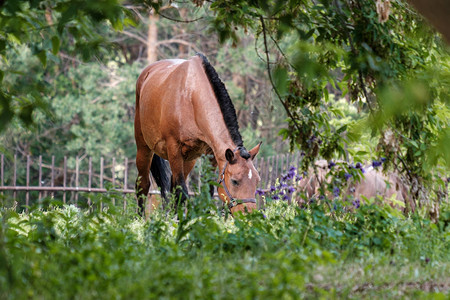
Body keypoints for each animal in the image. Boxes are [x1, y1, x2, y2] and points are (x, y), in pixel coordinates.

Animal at [134, 53, 260, 216]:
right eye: (235, 181)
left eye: (257, 181)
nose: (249, 214)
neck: (191, 95)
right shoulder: (173, 148)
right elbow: (182, 193)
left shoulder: (211, 154)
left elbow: (207, 191)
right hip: (144, 148)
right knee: (142, 185)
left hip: (189, 160)